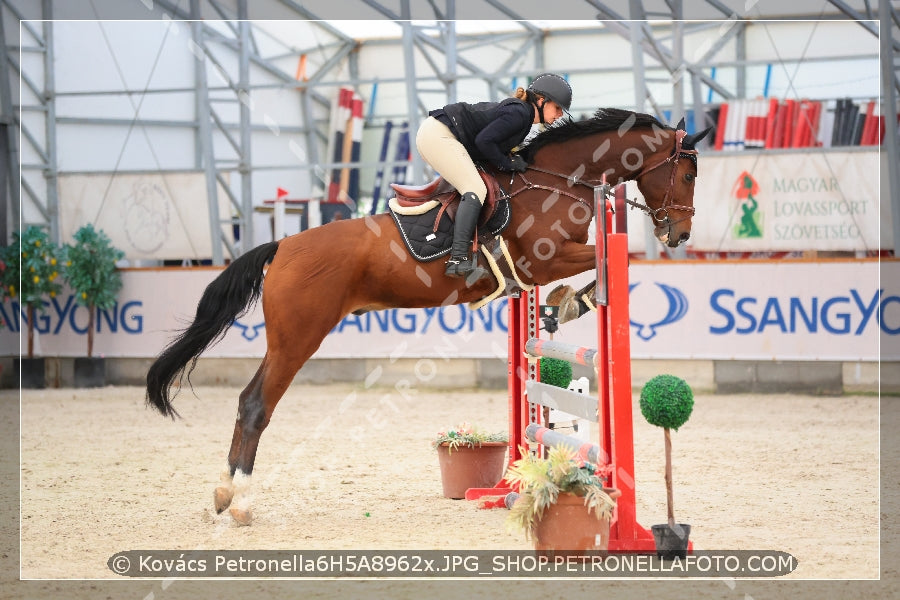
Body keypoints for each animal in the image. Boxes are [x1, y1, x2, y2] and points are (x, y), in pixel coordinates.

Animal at [146, 108, 712, 524]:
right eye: (687, 173)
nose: (679, 234)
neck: (556, 181)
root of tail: (282, 245)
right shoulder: (544, 259)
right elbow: (615, 258)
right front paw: (576, 299)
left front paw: (566, 304)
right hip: (298, 338)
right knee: (256, 404)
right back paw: (241, 501)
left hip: (288, 338)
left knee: (247, 401)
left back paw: (223, 494)